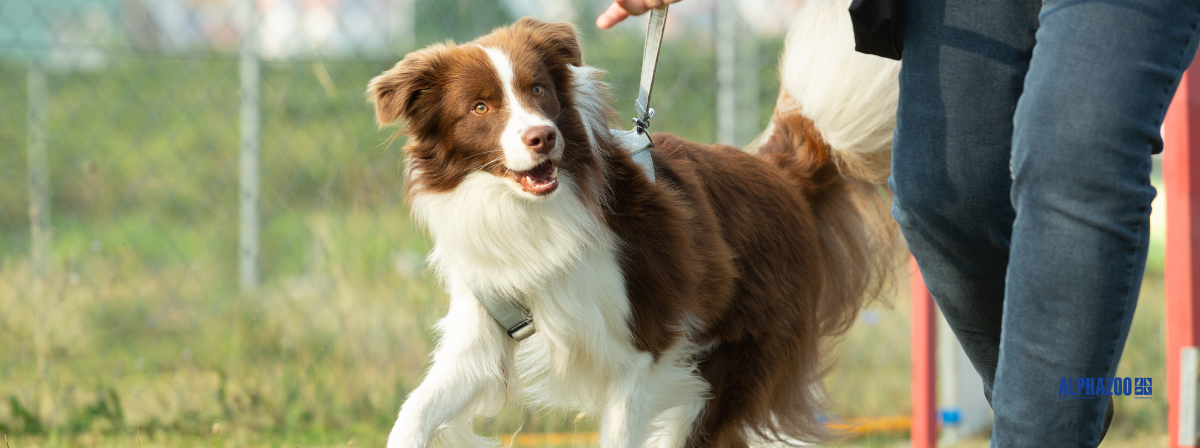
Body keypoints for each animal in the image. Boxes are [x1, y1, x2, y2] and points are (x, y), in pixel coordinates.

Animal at [364, 1, 902, 444]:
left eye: (539, 90)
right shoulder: (483, 332)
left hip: (731, 362)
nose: (542, 137)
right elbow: (414, 414)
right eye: (479, 107)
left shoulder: (644, 348)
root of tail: (781, 174)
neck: (532, 212)